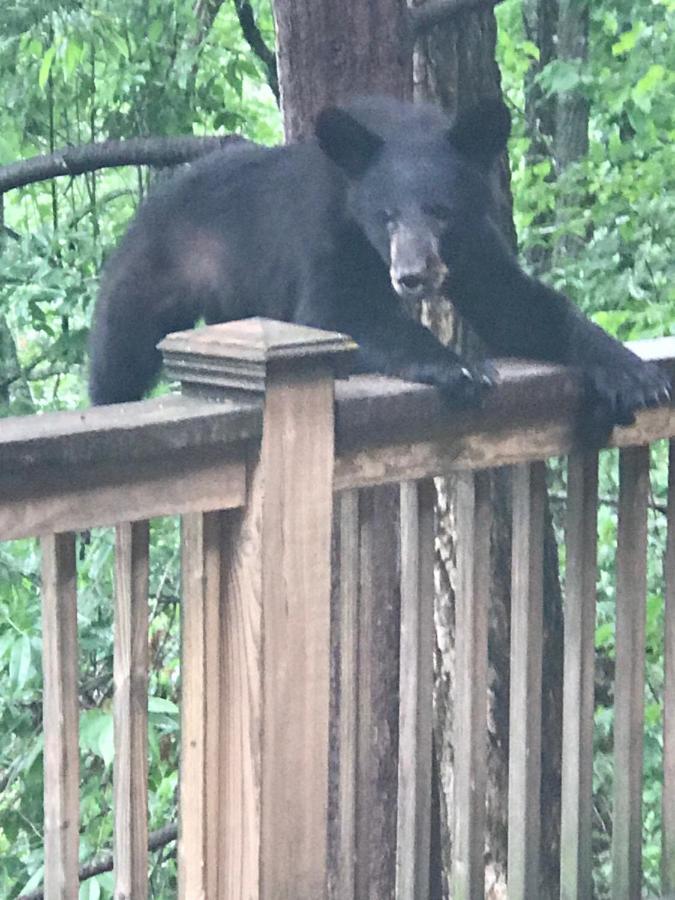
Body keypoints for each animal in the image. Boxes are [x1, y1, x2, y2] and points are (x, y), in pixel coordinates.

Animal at [88, 94, 672, 428]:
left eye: (441, 210)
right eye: (385, 216)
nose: (411, 276)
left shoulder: (474, 244)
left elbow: (519, 306)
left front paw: (634, 372)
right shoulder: (330, 234)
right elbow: (335, 312)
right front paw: (457, 364)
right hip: (153, 272)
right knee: (118, 355)